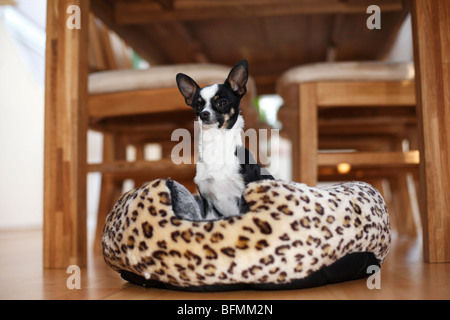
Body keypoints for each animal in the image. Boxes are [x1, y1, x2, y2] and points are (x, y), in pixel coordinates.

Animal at [176, 59, 274, 220]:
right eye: (198, 106)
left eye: (222, 103)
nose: (203, 114)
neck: (216, 143)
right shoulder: (208, 203)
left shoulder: (244, 197)